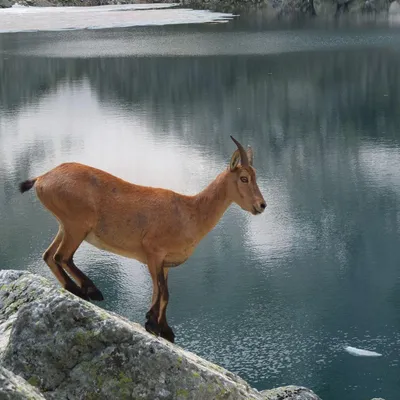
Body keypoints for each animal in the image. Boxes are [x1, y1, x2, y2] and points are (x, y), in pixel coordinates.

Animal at [20, 136, 268, 342]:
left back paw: (79, 289)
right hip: (76, 226)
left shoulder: (164, 263)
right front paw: (153, 323)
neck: (190, 213)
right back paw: (89, 290)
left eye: (256, 176)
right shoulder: (153, 252)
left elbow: (164, 294)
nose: (261, 205)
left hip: (65, 226)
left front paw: (164, 329)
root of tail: (42, 178)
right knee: (63, 256)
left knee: (50, 256)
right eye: (244, 178)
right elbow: (161, 291)